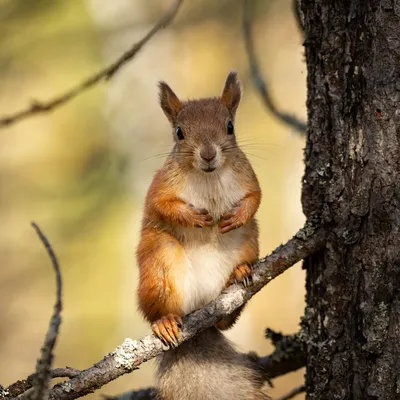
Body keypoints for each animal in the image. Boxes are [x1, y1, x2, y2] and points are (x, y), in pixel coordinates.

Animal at [136, 72, 268, 400]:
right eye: (179, 132)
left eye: (230, 126)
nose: (208, 154)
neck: (209, 176)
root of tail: (199, 312)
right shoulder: (160, 186)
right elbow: (161, 206)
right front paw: (195, 217)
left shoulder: (248, 176)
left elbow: (256, 197)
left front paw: (238, 215)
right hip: (160, 262)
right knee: (158, 311)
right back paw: (165, 322)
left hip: (248, 241)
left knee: (226, 321)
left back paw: (240, 273)